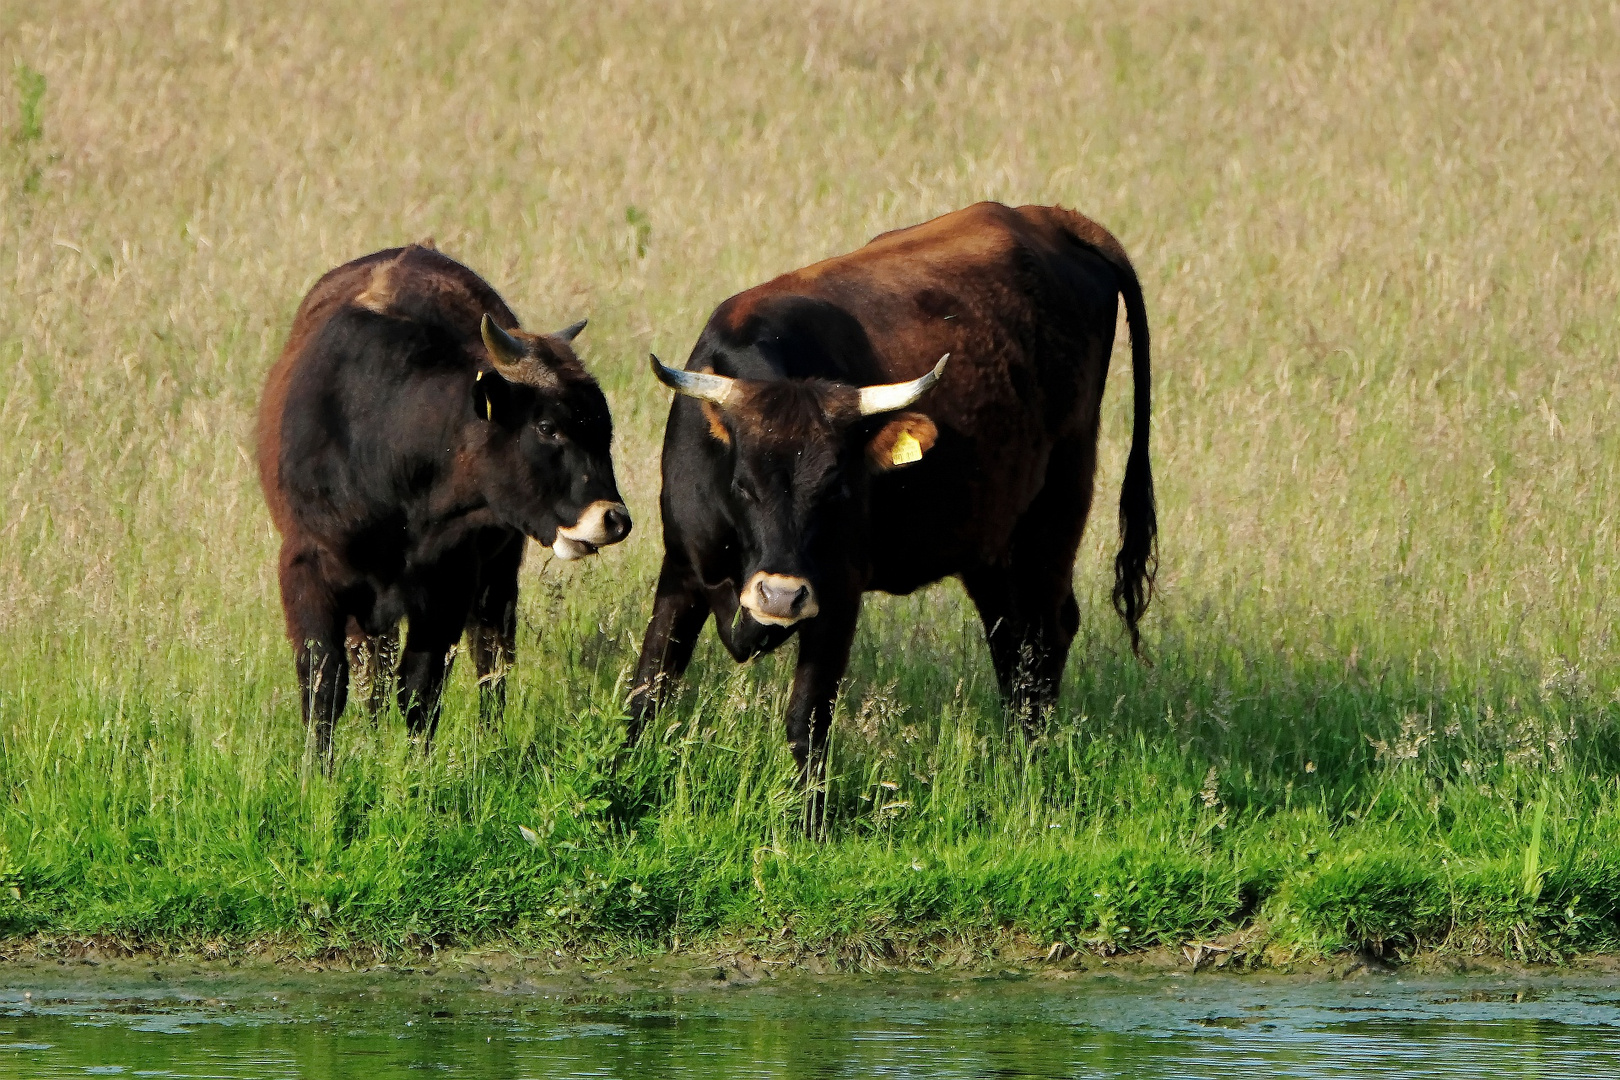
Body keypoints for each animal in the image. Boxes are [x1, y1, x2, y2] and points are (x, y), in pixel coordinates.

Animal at [255, 242, 628, 767]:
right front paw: (317, 775)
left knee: (490, 655)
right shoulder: (307, 569)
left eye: (603, 428)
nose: (613, 519)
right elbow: (324, 685)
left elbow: (419, 688)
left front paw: (416, 771)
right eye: (547, 426)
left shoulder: (447, 581)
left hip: (497, 574)